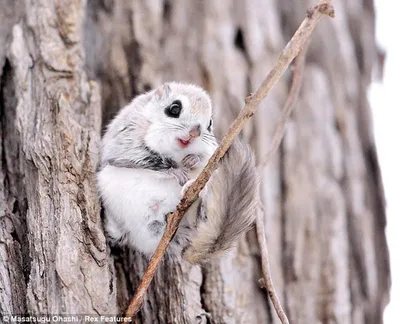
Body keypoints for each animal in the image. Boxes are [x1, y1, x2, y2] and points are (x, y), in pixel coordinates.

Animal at [97, 81, 260, 264]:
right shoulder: (125, 140)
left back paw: (191, 190)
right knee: (119, 233)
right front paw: (176, 171)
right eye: (174, 108)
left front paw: (193, 159)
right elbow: (142, 158)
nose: (195, 132)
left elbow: (205, 158)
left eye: (210, 123)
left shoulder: (211, 151)